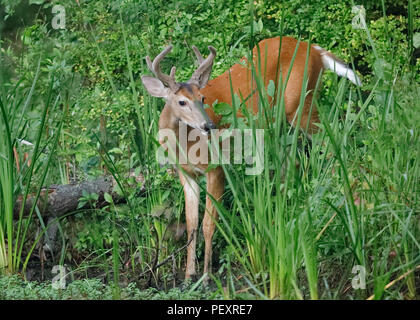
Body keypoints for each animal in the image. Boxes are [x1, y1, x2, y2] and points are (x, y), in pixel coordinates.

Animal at [140, 35, 360, 282]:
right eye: (182, 102)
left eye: (202, 97)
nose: (209, 126)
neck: (185, 147)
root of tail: (315, 50)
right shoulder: (187, 174)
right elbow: (191, 224)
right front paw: (188, 276)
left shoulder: (216, 167)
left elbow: (208, 223)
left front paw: (206, 277)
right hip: (278, 123)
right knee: (293, 161)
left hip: (300, 105)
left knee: (334, 139)